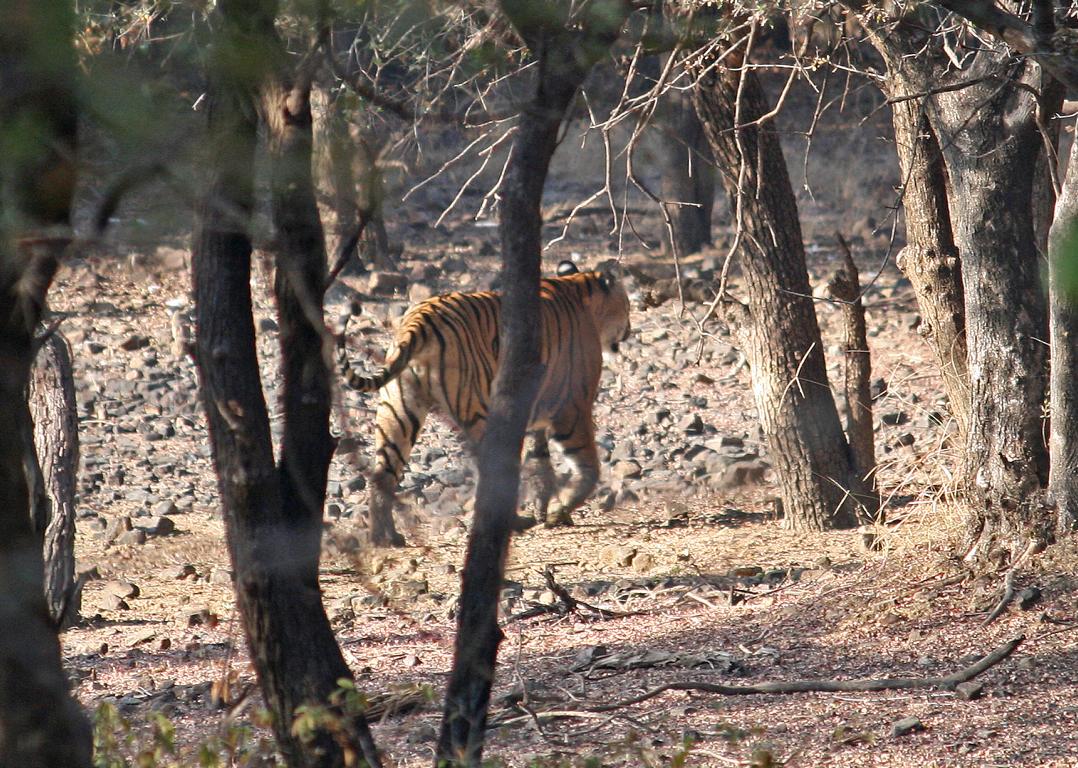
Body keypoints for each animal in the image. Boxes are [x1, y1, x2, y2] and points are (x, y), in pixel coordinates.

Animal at [338, 261, 629, 547]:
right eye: (627, 305)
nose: (628, 332)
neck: (579, 289)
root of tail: (418, 320)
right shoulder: (572, 406)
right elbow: (588, 467)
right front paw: (559, 512)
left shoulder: (534, 415)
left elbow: (540, 464)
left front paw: (545, 509)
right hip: (480, 412)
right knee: (491, 476)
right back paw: (513, 522)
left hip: (397, 414)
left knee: (382, 475)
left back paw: (384, 538)